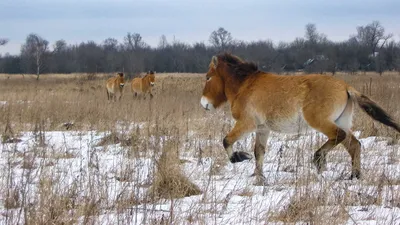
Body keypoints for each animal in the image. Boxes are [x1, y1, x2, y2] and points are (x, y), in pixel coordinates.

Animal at [200, 52, 400, 183]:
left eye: (208, 77)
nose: (204, 104)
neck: (245, 86)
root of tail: (346, 87)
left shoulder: (246, 124)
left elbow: (226, 141)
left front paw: (239, 157)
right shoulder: (262, 129)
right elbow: (259, 152)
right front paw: (259, 177)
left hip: (321, 122)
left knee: (338, 136)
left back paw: (319, 160)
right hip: (341, 121)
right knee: (354, 145)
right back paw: (354, 177)